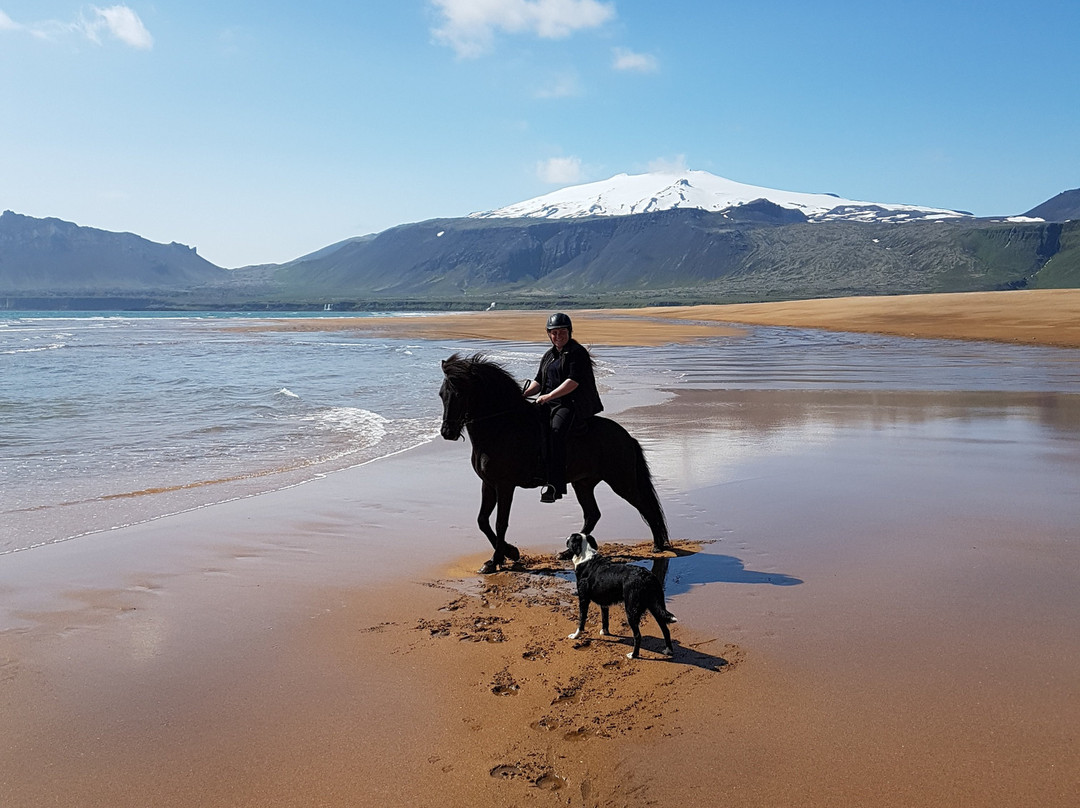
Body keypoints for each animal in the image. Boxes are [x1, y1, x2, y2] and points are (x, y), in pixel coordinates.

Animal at [439, 353, 670, 574]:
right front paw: (509, 553)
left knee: (645, 506)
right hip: (583, 483)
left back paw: (658, 545)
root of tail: (626, 436)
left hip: (622, 482)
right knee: (592, 514)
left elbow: (500, 523)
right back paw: (568, 552)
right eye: (442, 394)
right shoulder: (488, 484)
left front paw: (496, 560)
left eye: (459, 394)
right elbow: (482, 521)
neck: (502, 428)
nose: (447, 433)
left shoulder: (505, 485)